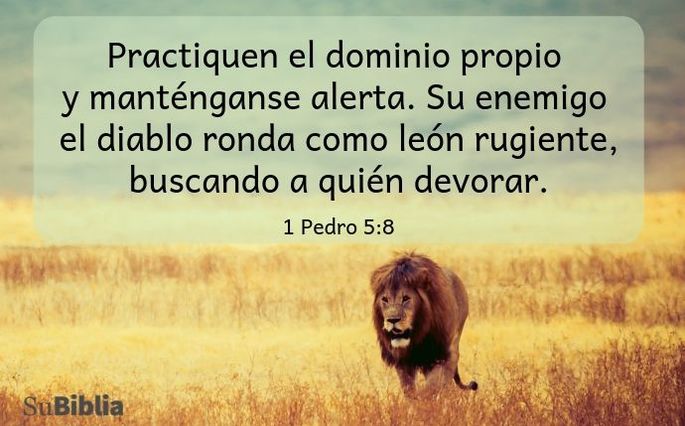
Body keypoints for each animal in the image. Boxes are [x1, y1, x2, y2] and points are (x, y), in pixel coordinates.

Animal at [371, 253, 477, 395]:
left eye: (406, 298)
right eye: (385, 299)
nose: (392, 320)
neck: (419, 333)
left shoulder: (445, 354)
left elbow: (434, 384)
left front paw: (427, 397)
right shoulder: (403, 361)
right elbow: (409, 388)